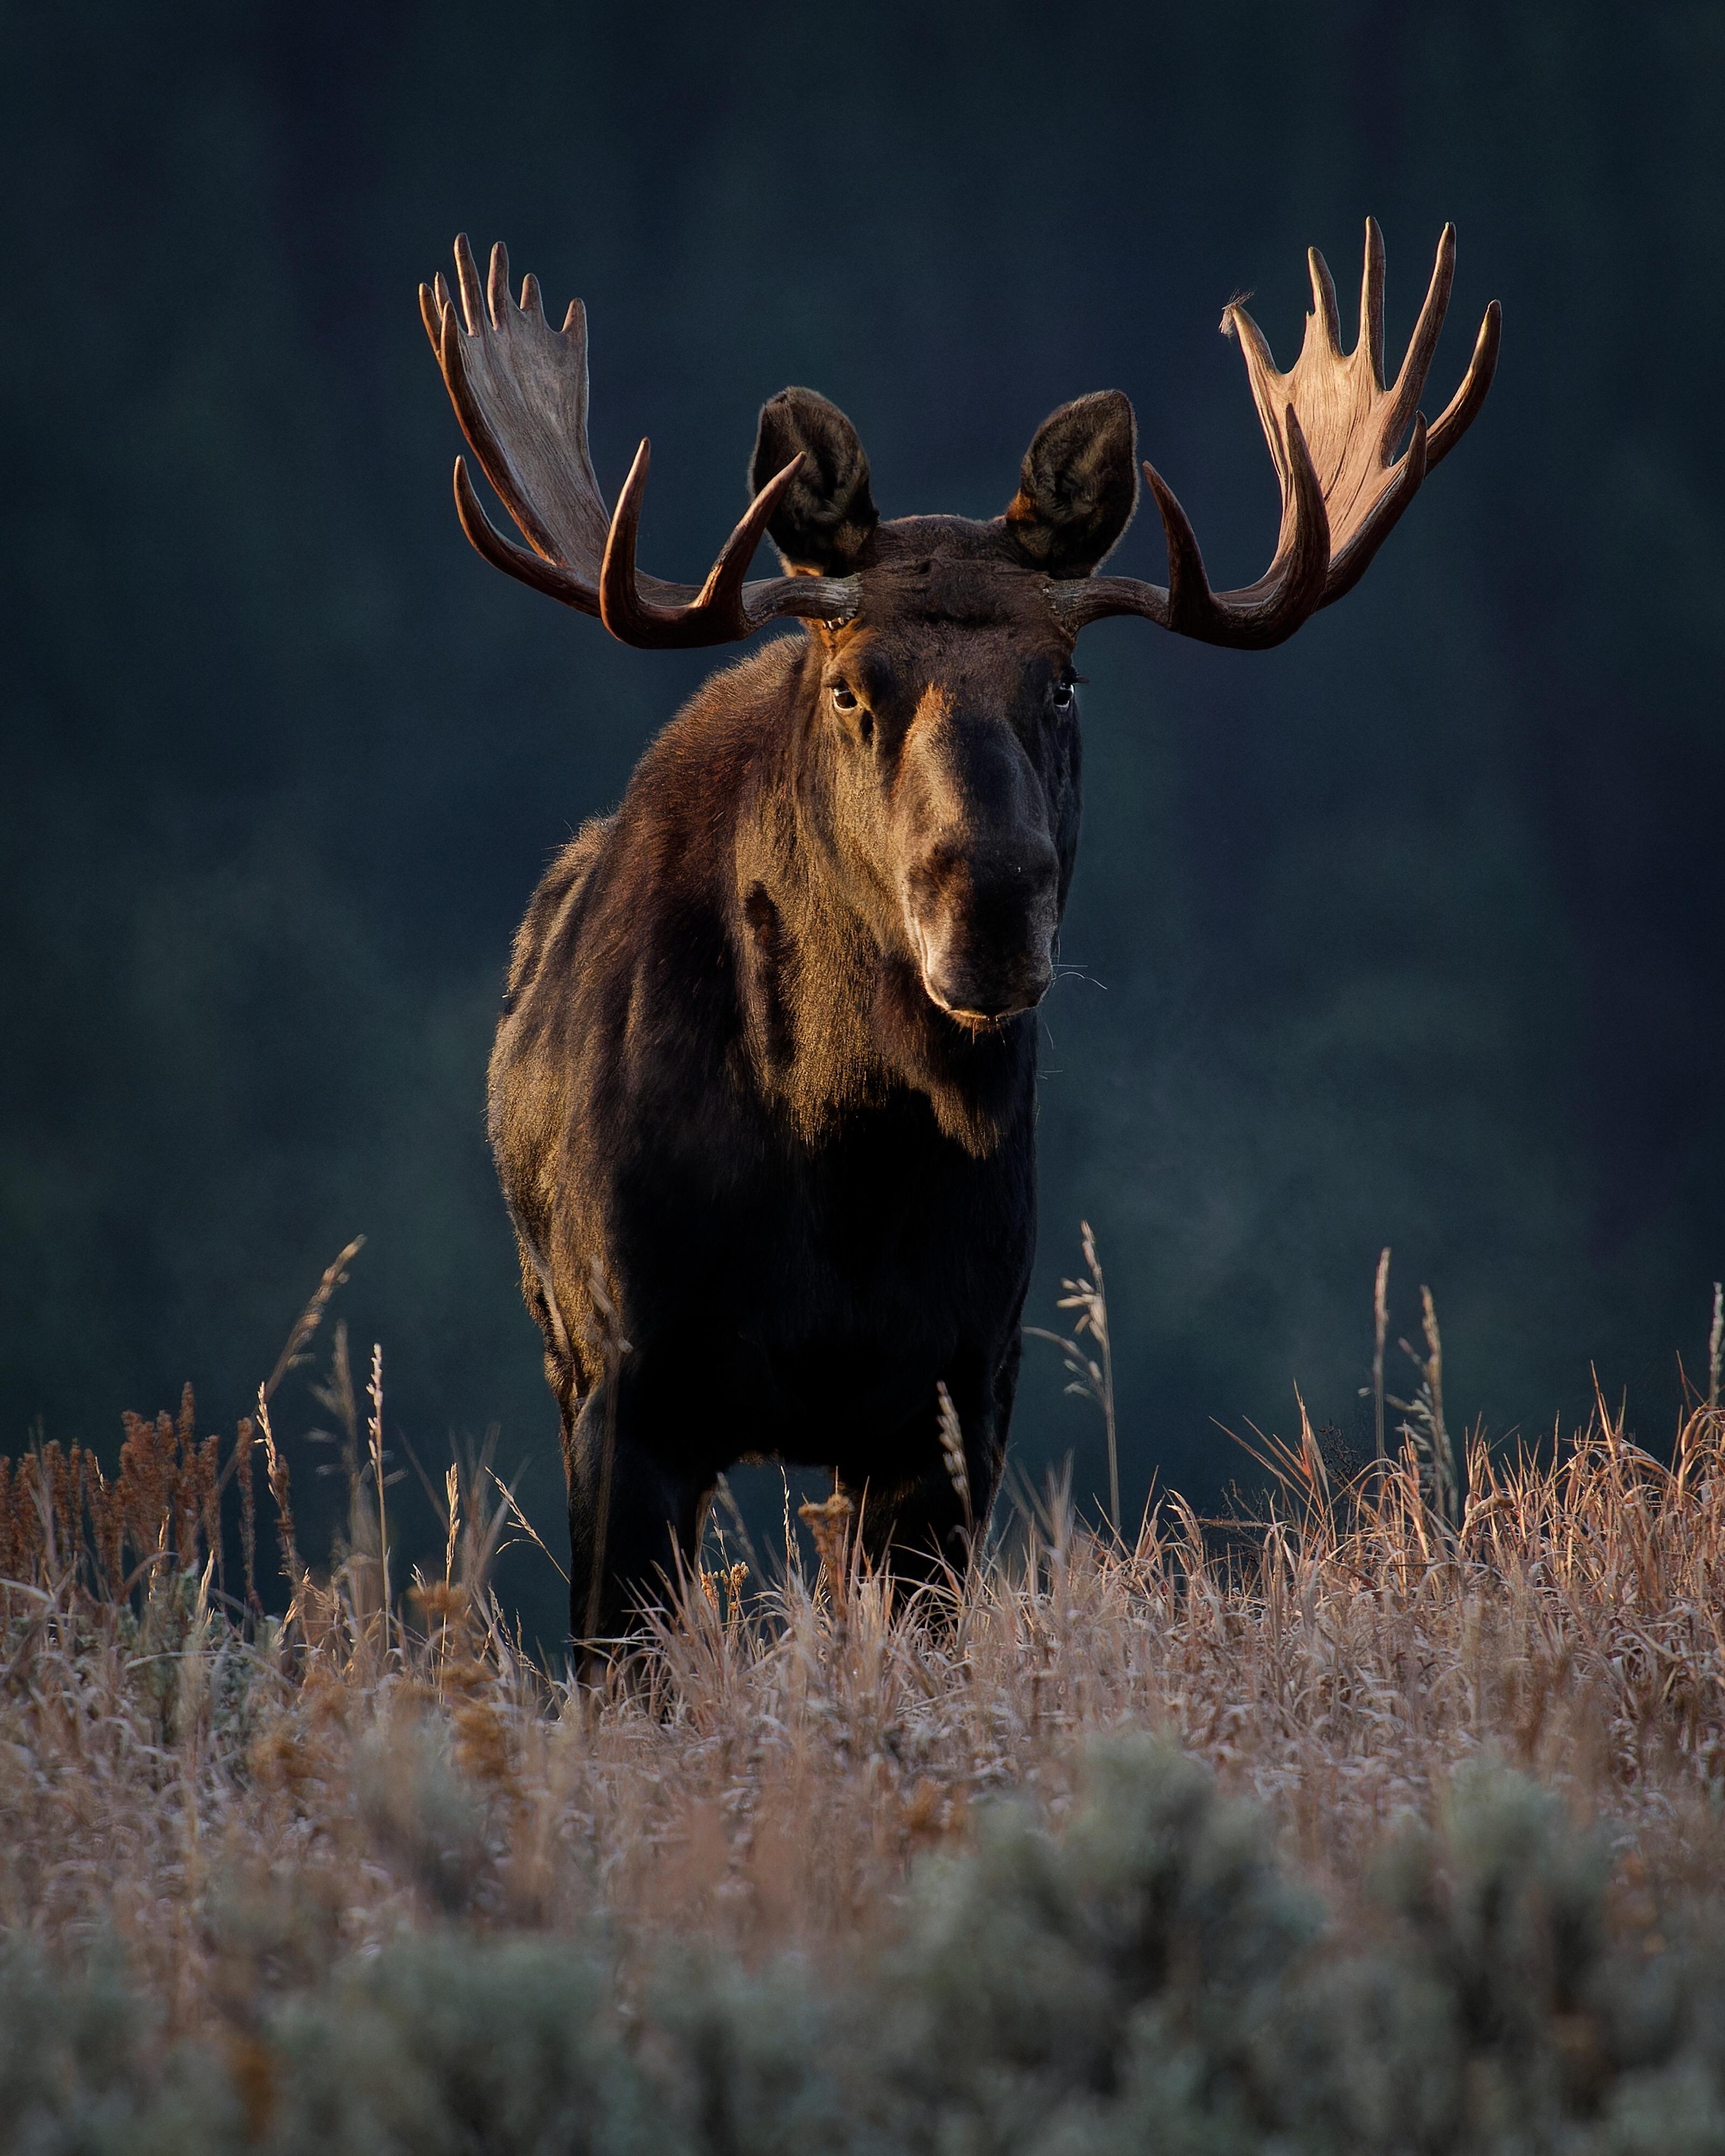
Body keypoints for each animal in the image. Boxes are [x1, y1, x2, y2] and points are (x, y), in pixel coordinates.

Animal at [421, 221, 1499, 1652]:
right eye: (849, 687)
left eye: (1065, 678)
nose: (989, 899)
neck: (836, 1165)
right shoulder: (626, 1383)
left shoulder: (958, 1393)